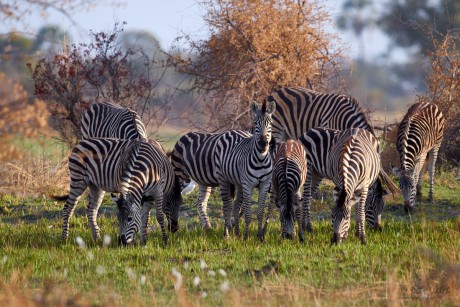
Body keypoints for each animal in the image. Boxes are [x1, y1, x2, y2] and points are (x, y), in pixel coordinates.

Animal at [215, 100, 274, 242]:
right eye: (255, 123)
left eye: (270, 123)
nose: (263, 144)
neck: (261, 159)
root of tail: (232, 131)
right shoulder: (248, 185)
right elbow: (248, 213)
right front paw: (246, 237)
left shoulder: (264, 185)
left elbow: (260, 212)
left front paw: (260, 237)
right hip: (223, 179)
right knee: (227, 205)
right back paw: (227, 235)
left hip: (239, 183)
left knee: (236, 205)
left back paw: (236, 233)